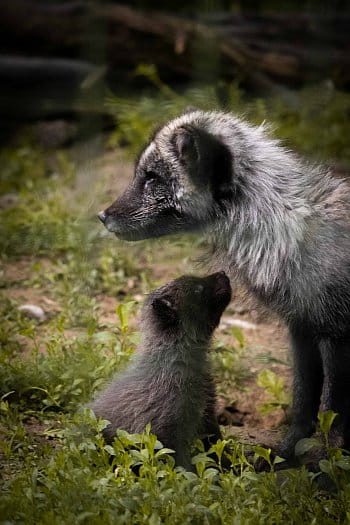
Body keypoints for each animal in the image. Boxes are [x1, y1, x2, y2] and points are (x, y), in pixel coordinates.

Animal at [98, 110, 350, 458]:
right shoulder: (302, 329)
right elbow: (304, 406)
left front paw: (324, 465)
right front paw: (285, 457)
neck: (286, 226)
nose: (102, 216)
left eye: (152, 178)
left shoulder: (335, 335)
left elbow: (331, 413)